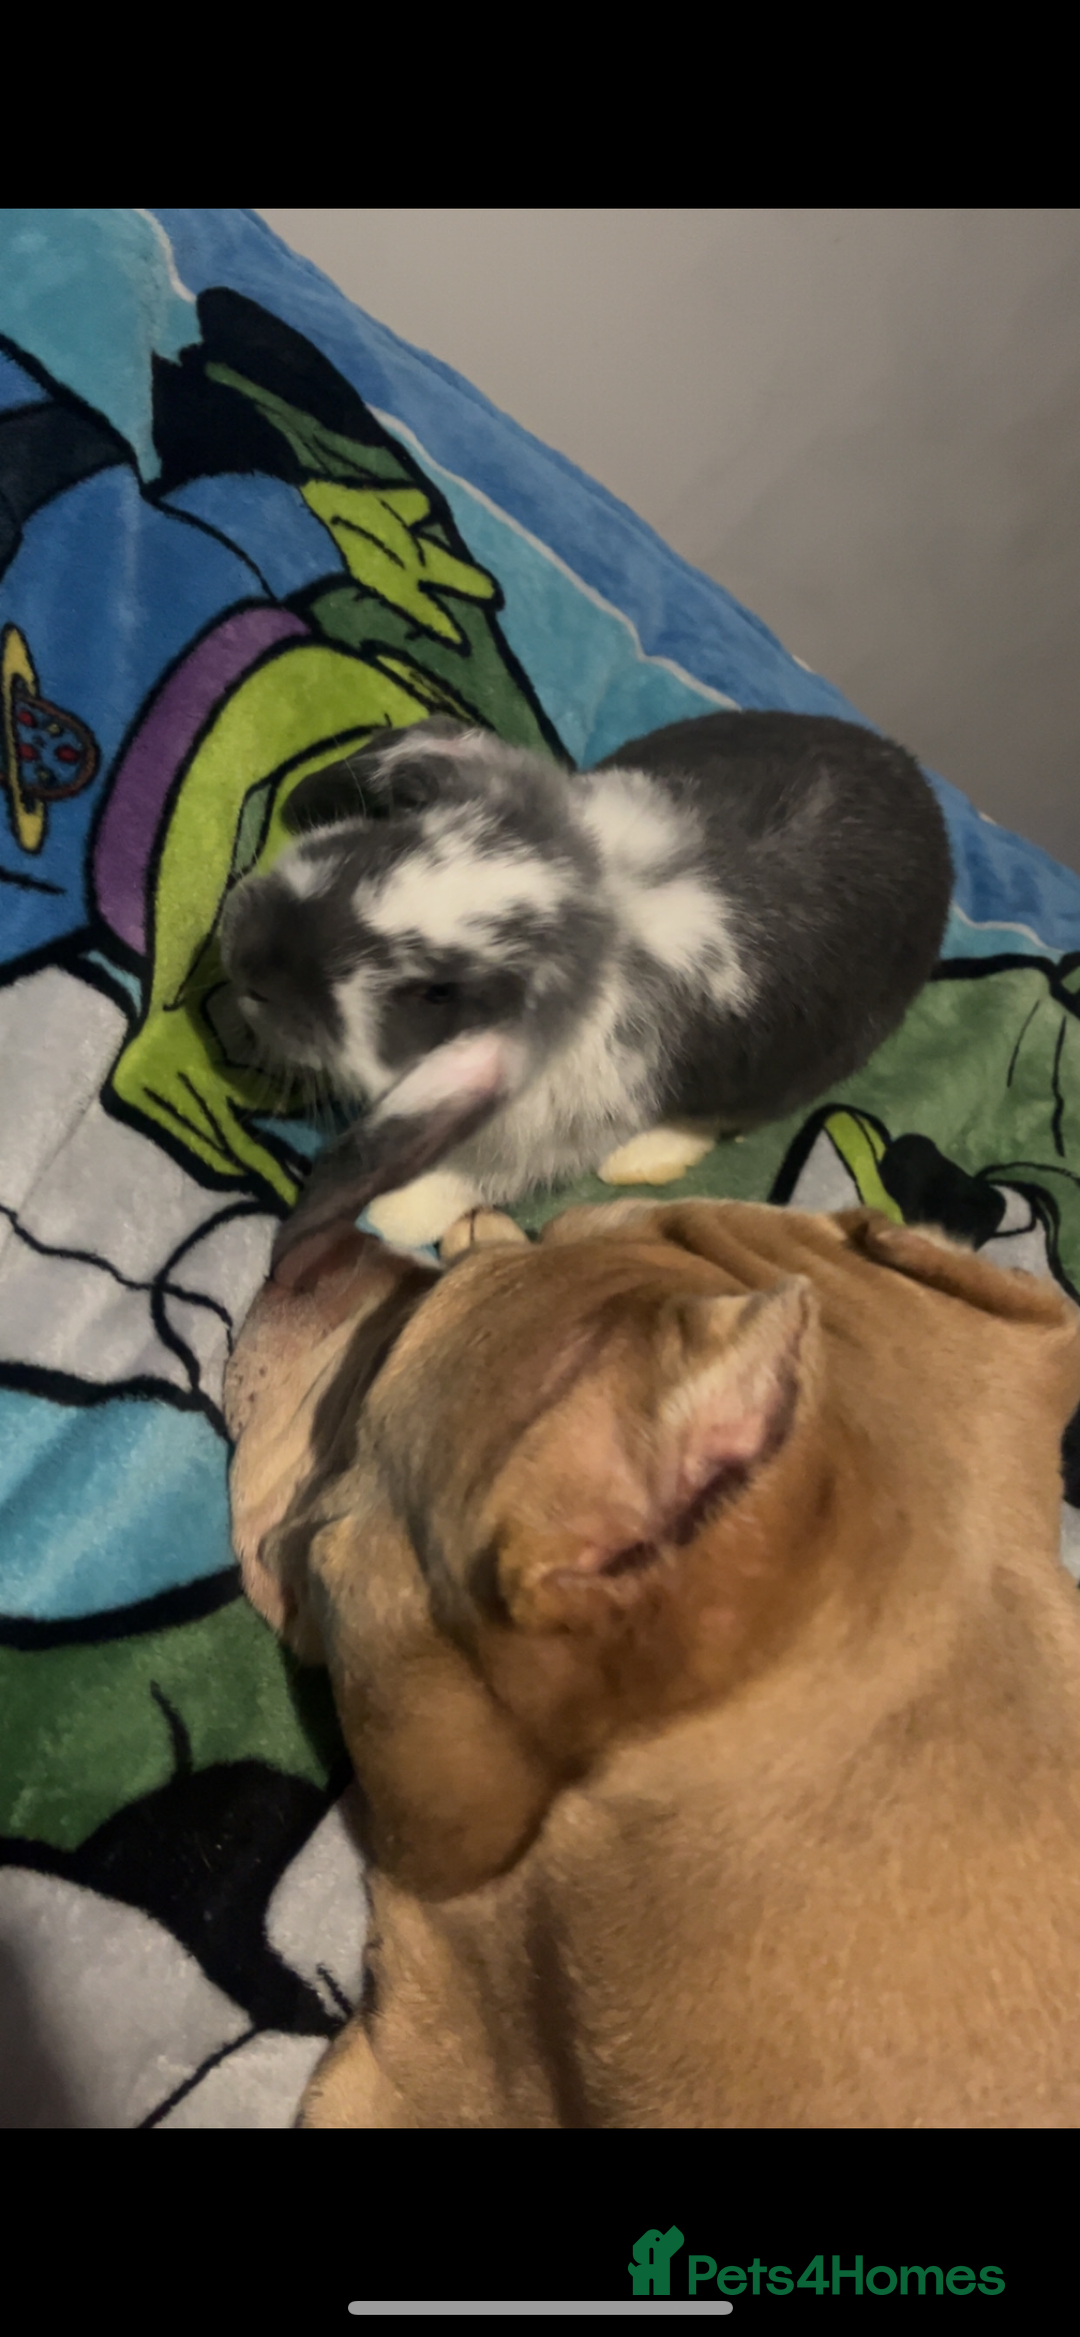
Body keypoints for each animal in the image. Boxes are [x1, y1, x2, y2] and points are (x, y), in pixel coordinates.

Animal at [217, 712, 953, 1267]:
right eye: (391, 837)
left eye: (437, 994)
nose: (249, 955)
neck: (595, 907)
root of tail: (925, 793)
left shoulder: (548, 1123)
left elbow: (476, 1173)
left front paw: (396, 1213)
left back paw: (642, 1158)